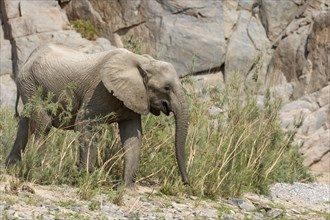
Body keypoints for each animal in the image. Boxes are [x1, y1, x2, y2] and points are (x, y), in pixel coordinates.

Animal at [6, 43, 189, 187]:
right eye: (166, 87)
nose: (186, 183)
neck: (142, 61)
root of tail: (30, 56)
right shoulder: (99, 90)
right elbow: (84, 125)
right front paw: (86, 177)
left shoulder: (133, 96)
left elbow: (132, 136)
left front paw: (126, 188)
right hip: (31, 84)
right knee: (43, 124)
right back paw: (36, 171)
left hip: (29, 85)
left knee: (25, 124)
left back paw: (11, 168)